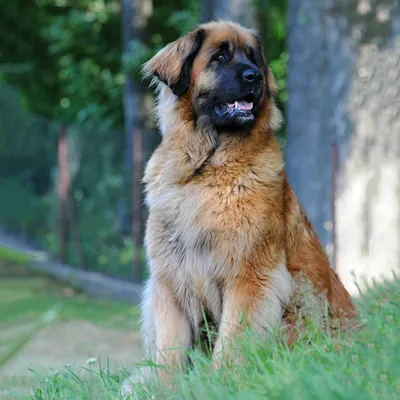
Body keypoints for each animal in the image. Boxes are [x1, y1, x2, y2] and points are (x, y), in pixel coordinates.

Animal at [121, 20, 354, 392]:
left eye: (252, 58)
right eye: (220, 57)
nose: (254, 77)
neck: (207, 168)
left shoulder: (249, 275)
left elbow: (233, 340)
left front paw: (222, 383)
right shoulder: (170, 282)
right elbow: (169, 350)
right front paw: (164, 388)